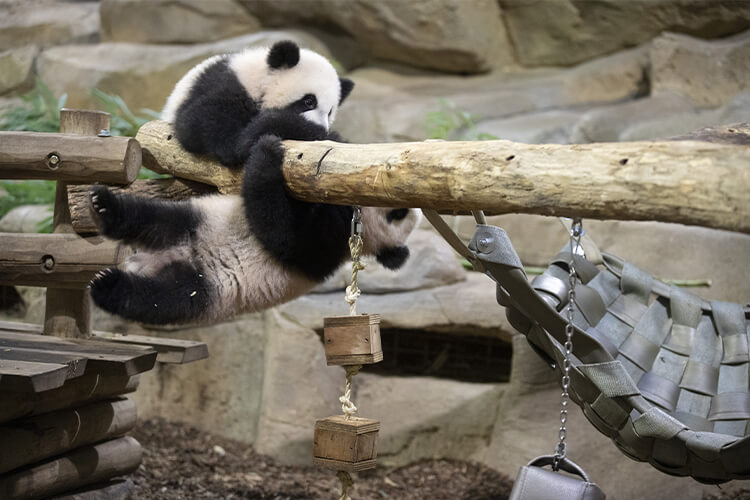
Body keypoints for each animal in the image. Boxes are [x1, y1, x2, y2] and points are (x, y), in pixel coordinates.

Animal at [89, 41, 420, 326]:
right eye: (308, 100)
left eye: (331, 111)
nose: (323, 125)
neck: (257, 78)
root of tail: (162, 259)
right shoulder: (223, 86)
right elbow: (211, 130)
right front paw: (291, 134)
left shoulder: (325, 244)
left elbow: (283, 236)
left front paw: (268, 150)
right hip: (195, 220)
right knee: (149, 217)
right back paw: (104, 207)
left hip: (204, 290)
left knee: (158, 297)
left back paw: (108, 284)